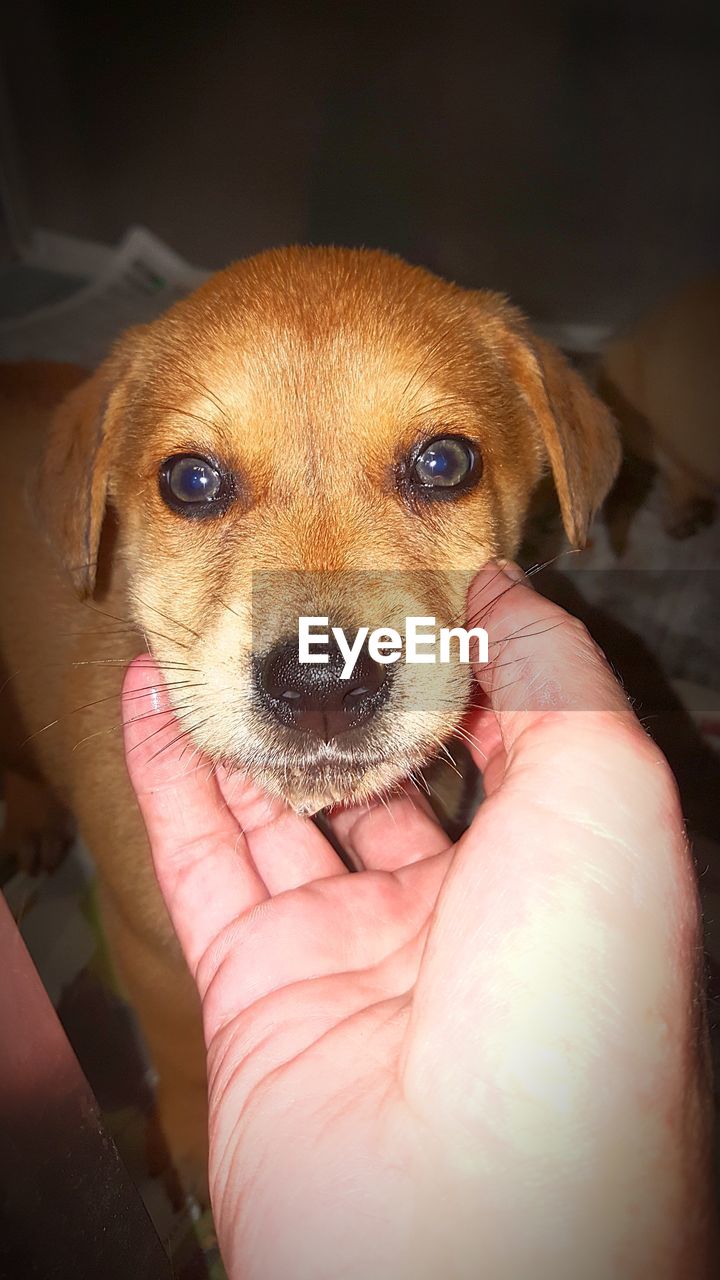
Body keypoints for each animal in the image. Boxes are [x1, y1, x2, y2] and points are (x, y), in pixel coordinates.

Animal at [0, 247, 617, 1187]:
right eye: (191, 481)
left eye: (446, 464)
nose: (324, 680)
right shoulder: (146, 955)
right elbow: (181, 1059)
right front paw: (189, 1149)